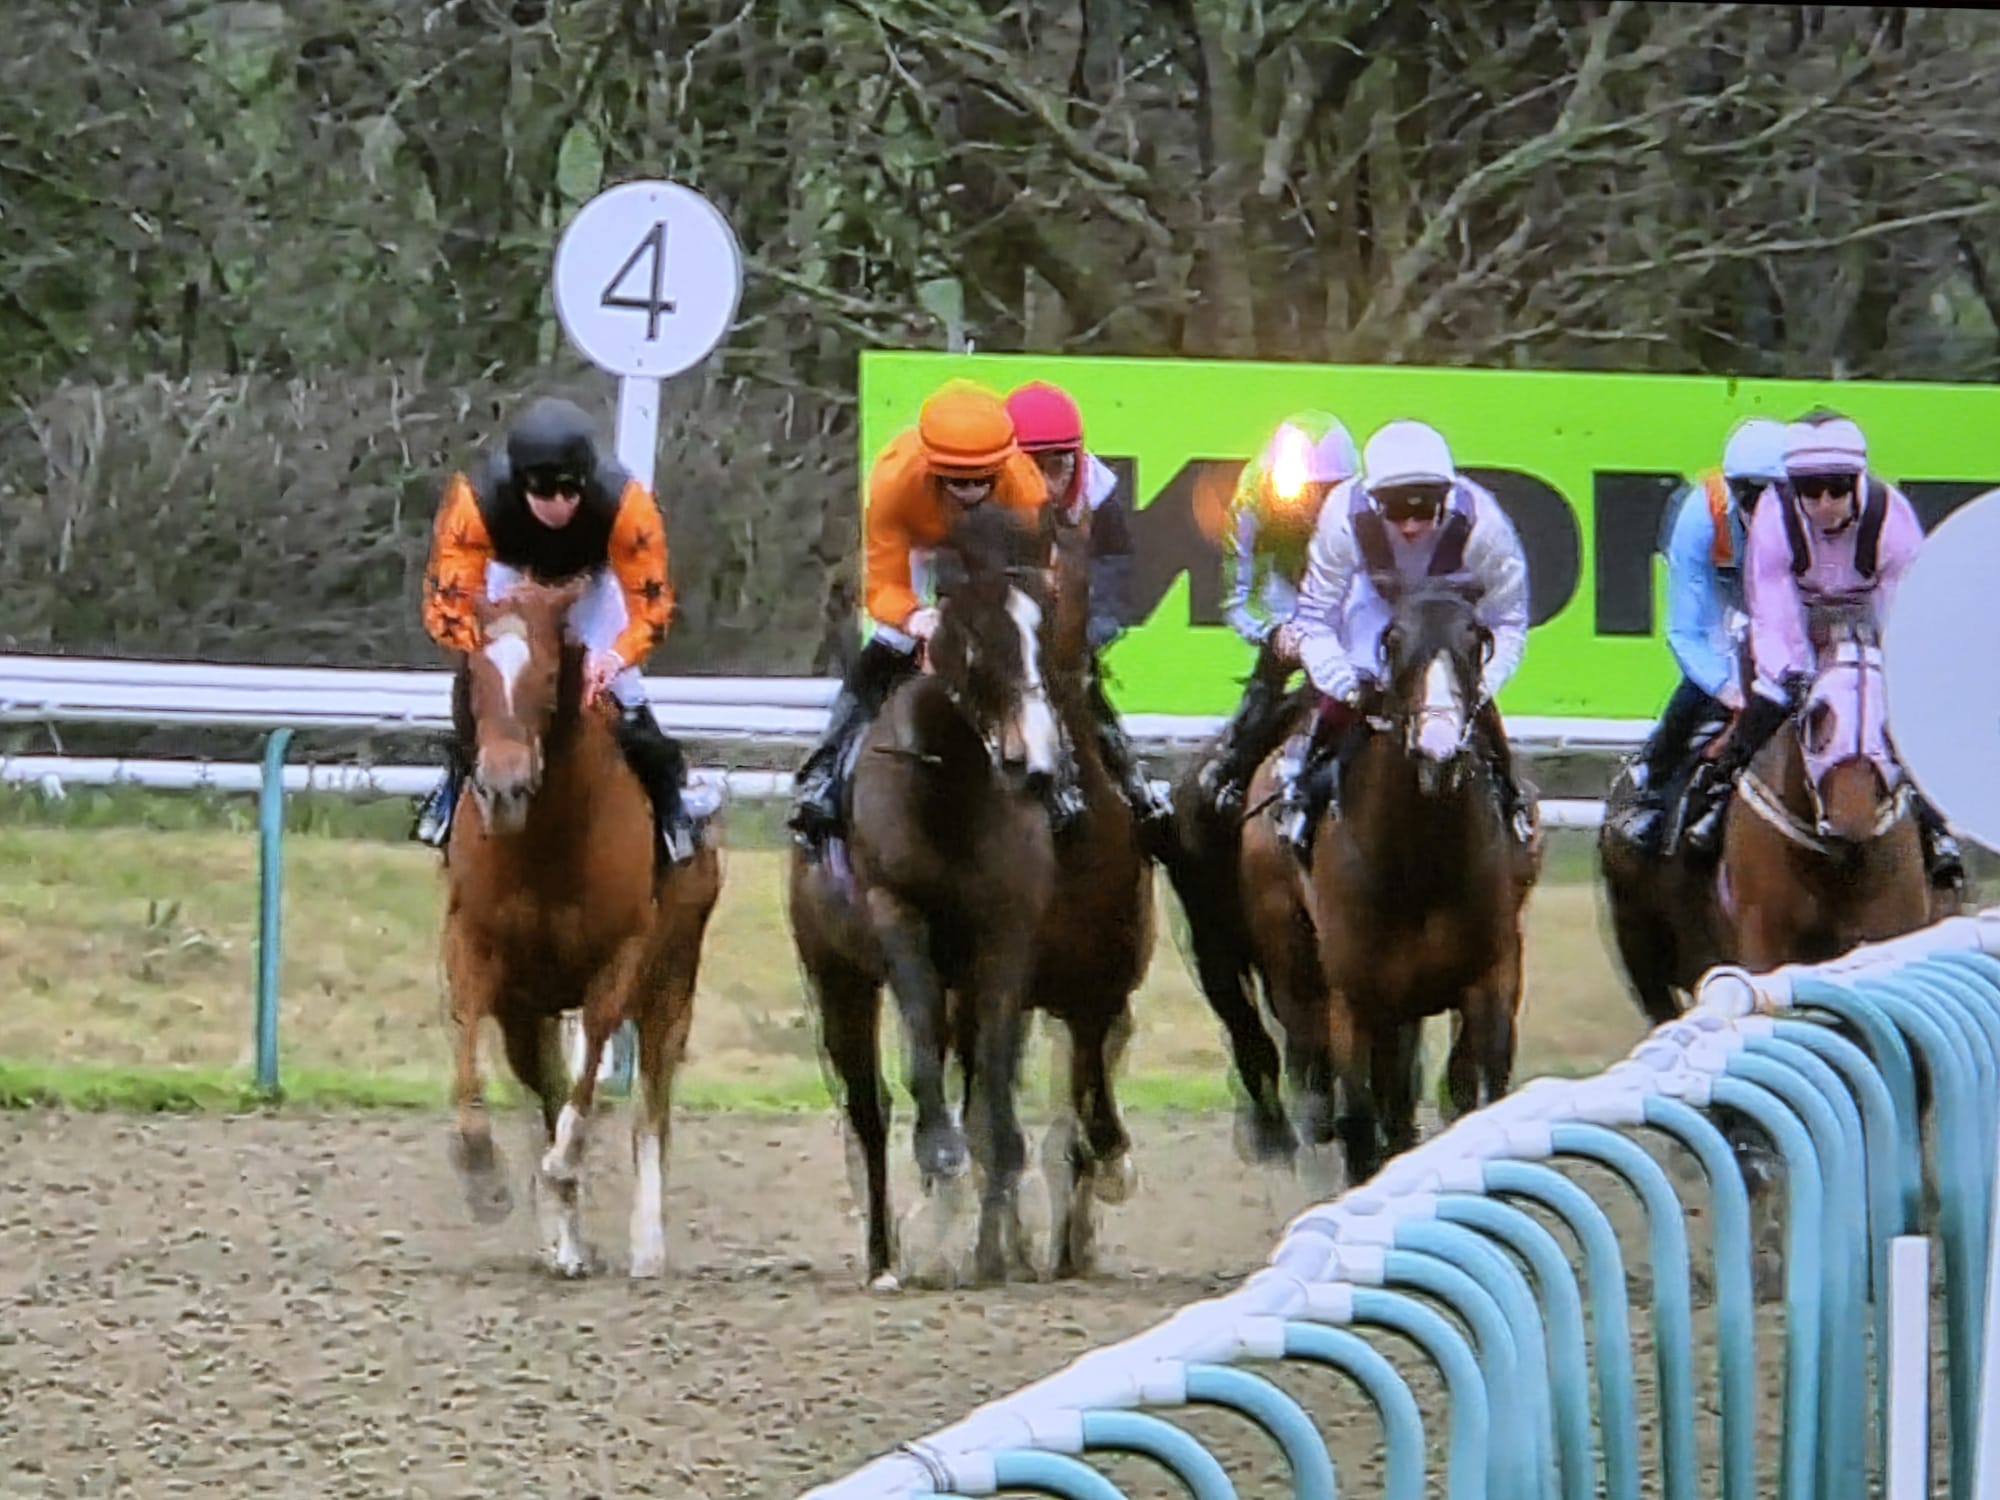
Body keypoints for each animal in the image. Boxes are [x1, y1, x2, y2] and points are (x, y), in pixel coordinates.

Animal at [439, 576, 723, 1279]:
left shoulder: (623, 957)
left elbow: (592, 1065)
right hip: (532, 1010)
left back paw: (647, 1246)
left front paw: (565, 1165)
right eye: (474, 673)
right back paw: (564, 1242)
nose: (504, 786)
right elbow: (472, 1039)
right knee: (548, 1089)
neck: (545, 844)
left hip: (672, 986)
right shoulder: (478, 951)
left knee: (652, 1107)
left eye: (546, 674)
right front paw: (484, 1178)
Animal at [788, 501, 1060, 1289]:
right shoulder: (897, 918)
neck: (954, 792)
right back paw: (885, 1257)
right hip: (838, 977)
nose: (1036, 764)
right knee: (869, 1108)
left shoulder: (1003, 939)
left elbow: (993, 1080)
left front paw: (990, 1243)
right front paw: (938, 1151)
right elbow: (915, 1060)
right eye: (974, 636)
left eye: (1046, 626)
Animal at [1305, 580, 1539, 1185]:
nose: (1437, 747)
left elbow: (1482, 1093)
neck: (1419, 868)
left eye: (1476, 639)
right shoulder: (1354, 997)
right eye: (1393, 639)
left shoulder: (1492, 973)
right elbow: (1361, 1120)